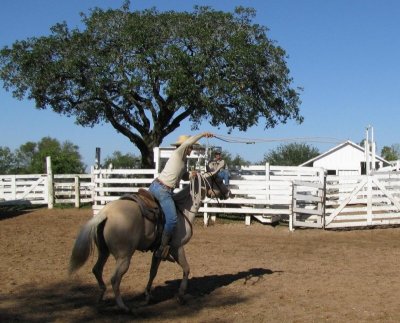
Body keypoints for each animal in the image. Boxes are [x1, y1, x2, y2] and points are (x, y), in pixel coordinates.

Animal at [68, 170, 225, 312]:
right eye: (218, 179)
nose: (228, 192)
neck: (182, 210)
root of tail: (105, 213)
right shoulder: (177, 247)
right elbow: (186, 268)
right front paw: (180, 296)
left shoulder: (158, 252)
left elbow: (152, 272)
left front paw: (148, 295)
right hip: (124, 257)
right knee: (114, 279)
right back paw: (123, 306)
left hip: (104, 251)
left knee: (96, 270)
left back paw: (100, 298)